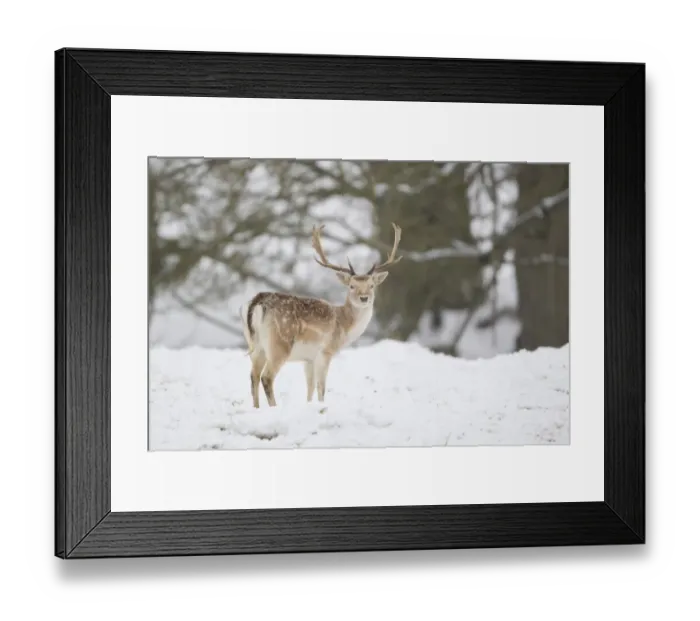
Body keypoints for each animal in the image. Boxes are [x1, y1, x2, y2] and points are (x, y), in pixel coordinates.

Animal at [239, 222, 403, 409]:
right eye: (352, 286)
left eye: (371, 286)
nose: (364, 298)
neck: (344, 325)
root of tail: (257, 302)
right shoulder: (325, 351)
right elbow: (321, 387)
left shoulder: (308, 359)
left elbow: (310, 387)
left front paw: (309, 405)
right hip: (279, 343)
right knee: (267, 377)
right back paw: (274, 407)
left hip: (255, 345)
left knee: (253, 376)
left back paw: (256, 408)